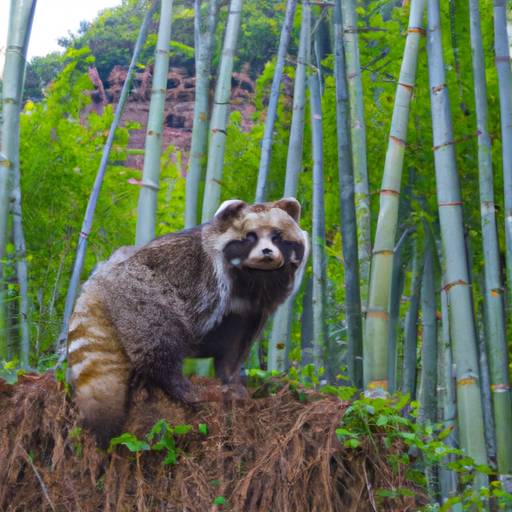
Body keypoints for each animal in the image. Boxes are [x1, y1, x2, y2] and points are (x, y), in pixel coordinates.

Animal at [67, 198, 308, 446]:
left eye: (277, 236)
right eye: (251, 237)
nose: (267, 251)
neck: (254, 277)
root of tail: (97, 282)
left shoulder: (254, 309)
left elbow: (238, 340)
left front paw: (231, 377)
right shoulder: (194, 268)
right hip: (129, 292)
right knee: (158, 328)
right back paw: (172, 380)